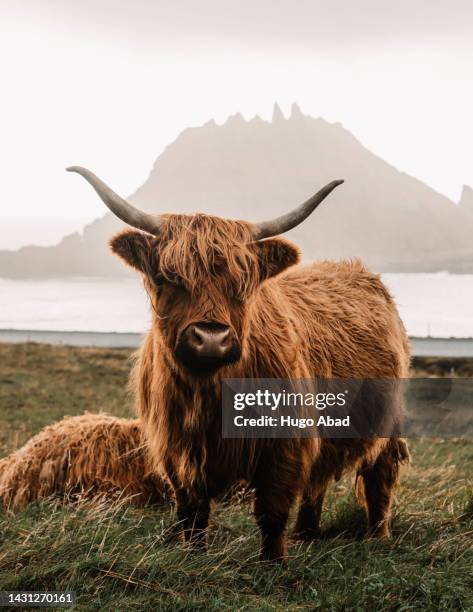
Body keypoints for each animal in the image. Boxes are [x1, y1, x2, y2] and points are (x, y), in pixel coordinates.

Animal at [67, 165, 410, 560]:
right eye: (170, 277)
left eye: (241, 282)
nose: (211, 339)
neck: (208, 395)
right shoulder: (176, 450)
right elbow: (192, 513)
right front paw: (194, 556)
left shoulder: (284, 444)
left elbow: (272, 510)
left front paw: (273, 562)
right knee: (318, 480)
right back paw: (307, 534)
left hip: (388, 422)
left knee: (379, 477)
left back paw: (377, 537)